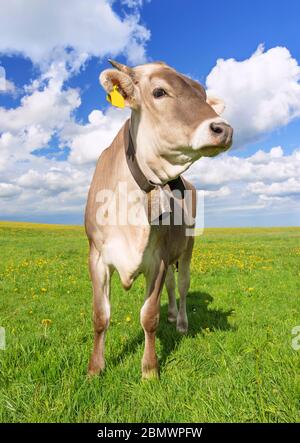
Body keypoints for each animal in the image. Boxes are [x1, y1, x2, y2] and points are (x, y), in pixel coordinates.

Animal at [85, 59, 233, 378]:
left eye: (204, 96)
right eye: (159, 92)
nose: (223, 128)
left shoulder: (159, 258)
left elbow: (148, 316)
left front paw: (150, 369)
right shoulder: (97, 256)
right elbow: (101, 315)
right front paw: (95, 368)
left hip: (187, 250)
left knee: (183, 286)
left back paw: (181, 322)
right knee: (171, 288)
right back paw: (173, 314)